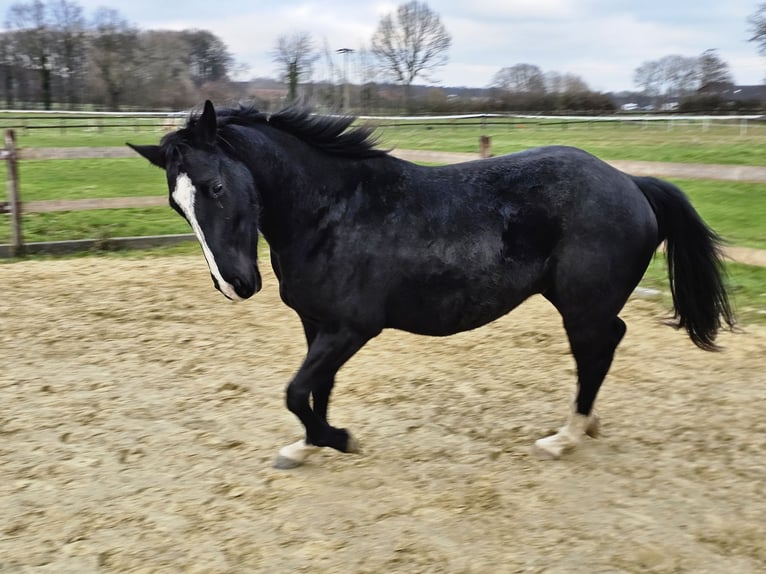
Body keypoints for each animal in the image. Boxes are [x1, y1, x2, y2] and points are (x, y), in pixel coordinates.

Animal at [128, 100, 734, 468]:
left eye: (215, 186)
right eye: (176, 204)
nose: (235, 284)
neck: (330, 212)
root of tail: (631, 182)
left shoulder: (352, 328)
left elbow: (297, 391)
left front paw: (338, 440)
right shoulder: (317, 325)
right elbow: (315, 391)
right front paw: (306, 447)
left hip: (582, 307)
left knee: (597, 351)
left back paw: (564, 437)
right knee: (608, 345)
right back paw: (586, 426)